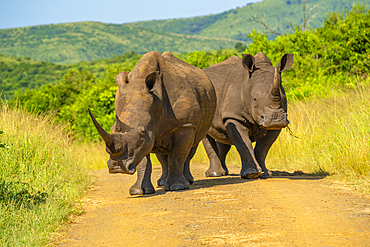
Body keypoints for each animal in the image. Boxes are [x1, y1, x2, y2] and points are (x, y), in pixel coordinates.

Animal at [89, 51, 215, 195]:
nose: (117, 167)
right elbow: (143, 160)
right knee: (162, 150)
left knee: (191, 146)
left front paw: (177, 187)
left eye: (142, 131)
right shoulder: (144, 138)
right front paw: (138, 191)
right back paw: (163, 182)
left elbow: (177, 156)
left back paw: (187, 181)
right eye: (112, 129)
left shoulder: (184, 125)